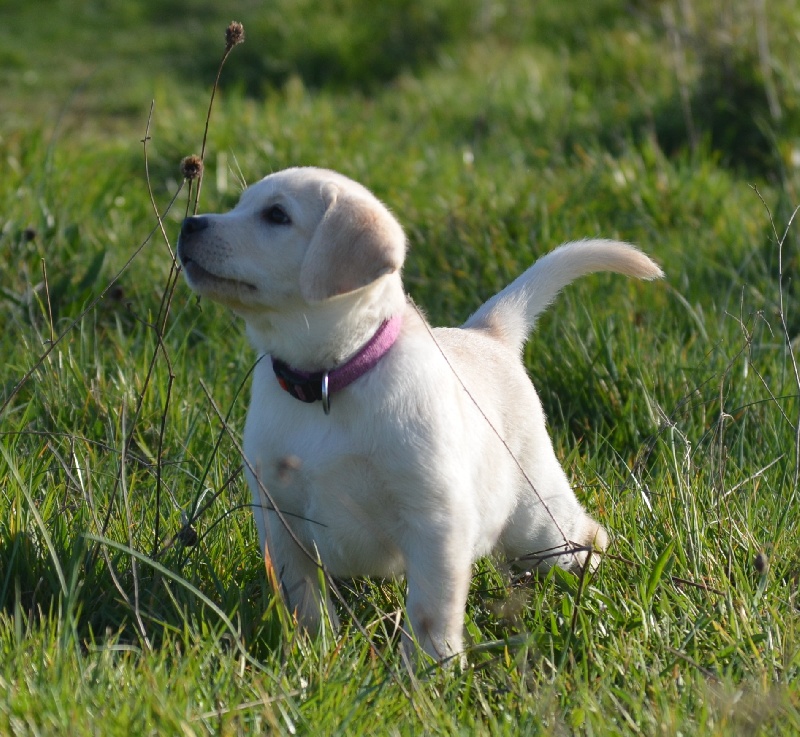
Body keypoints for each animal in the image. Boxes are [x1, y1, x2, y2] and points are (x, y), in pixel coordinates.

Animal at [177, 168, 664, 660]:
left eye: (276, 215)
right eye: (240, 205)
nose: (189, 224)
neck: (329, 381)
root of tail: (487, 335)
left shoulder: (435, 521)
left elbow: (432, 610)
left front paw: (432, 668)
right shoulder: (280, 518)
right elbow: (304, 600)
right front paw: (314, 653)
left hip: (537, 518)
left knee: (586, 535)